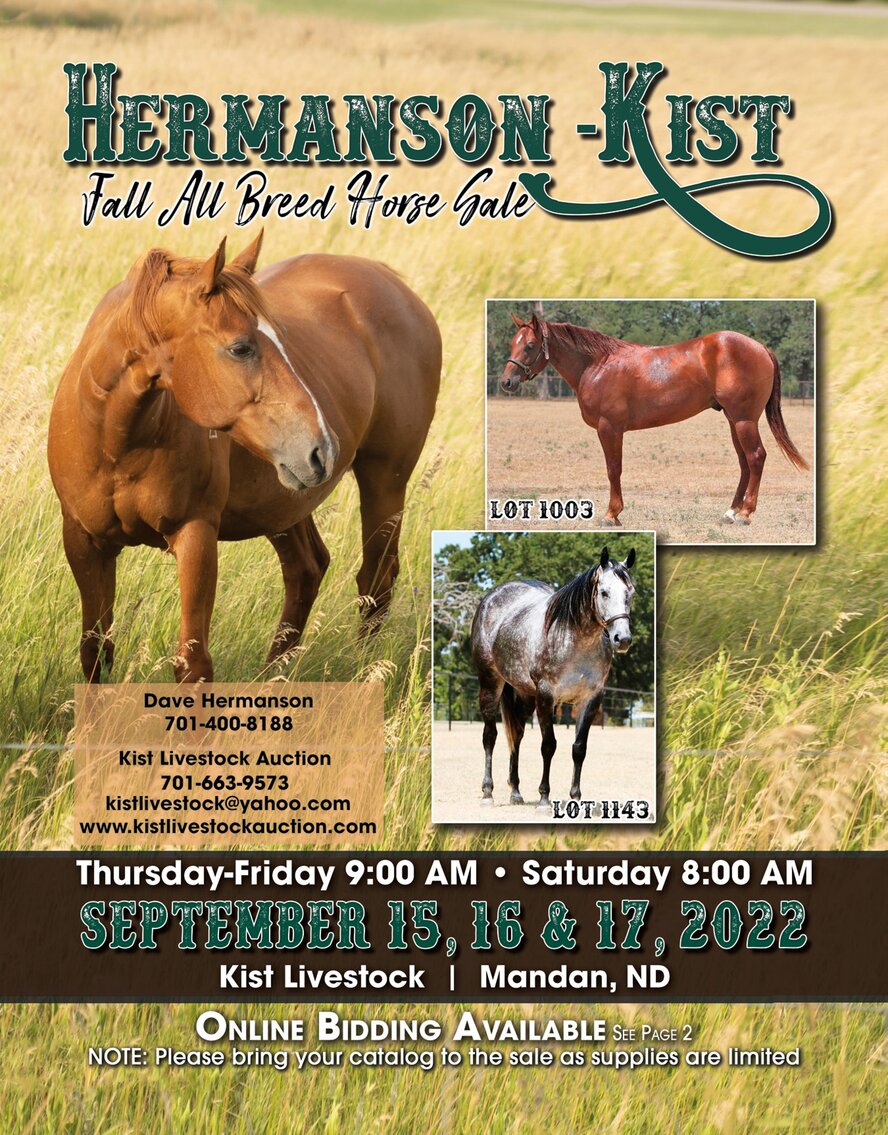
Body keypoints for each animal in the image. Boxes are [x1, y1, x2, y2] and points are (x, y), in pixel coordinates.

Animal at [48, 232, 441, 682]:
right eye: (241, 348)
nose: (323, 447)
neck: (116, 442)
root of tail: (391, 281)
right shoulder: (84, 543)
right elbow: (95, 652)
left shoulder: (196, 536)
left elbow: (193, 664)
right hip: (284, 500)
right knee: (307, 569)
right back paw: (271, 680)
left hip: (384, 480)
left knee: (376, 579)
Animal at [470, 546, 636, 809]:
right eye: (604, 592)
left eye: (631, 592)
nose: (623, 639)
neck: (574, 640)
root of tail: (493, 596)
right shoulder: (546, 697)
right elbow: (548, 746)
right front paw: (544, 798)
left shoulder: (591, 699)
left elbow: (579, 749)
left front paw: (575, 797)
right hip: (490, 683)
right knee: (490, 736)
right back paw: (488, 793)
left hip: (524, 695)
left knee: (516, 735)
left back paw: (516, 792)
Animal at [501, 313, 808, 526]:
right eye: (512, 343)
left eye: (530, 345)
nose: (506, 382)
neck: (598, 364)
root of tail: (761, 347)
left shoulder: (609, 428)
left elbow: (613, 469)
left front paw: (612, 514)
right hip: (734, 420)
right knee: (744, 462)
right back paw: (731, 512)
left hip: (744, 420)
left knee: (756, 457)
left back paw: (745, 514)